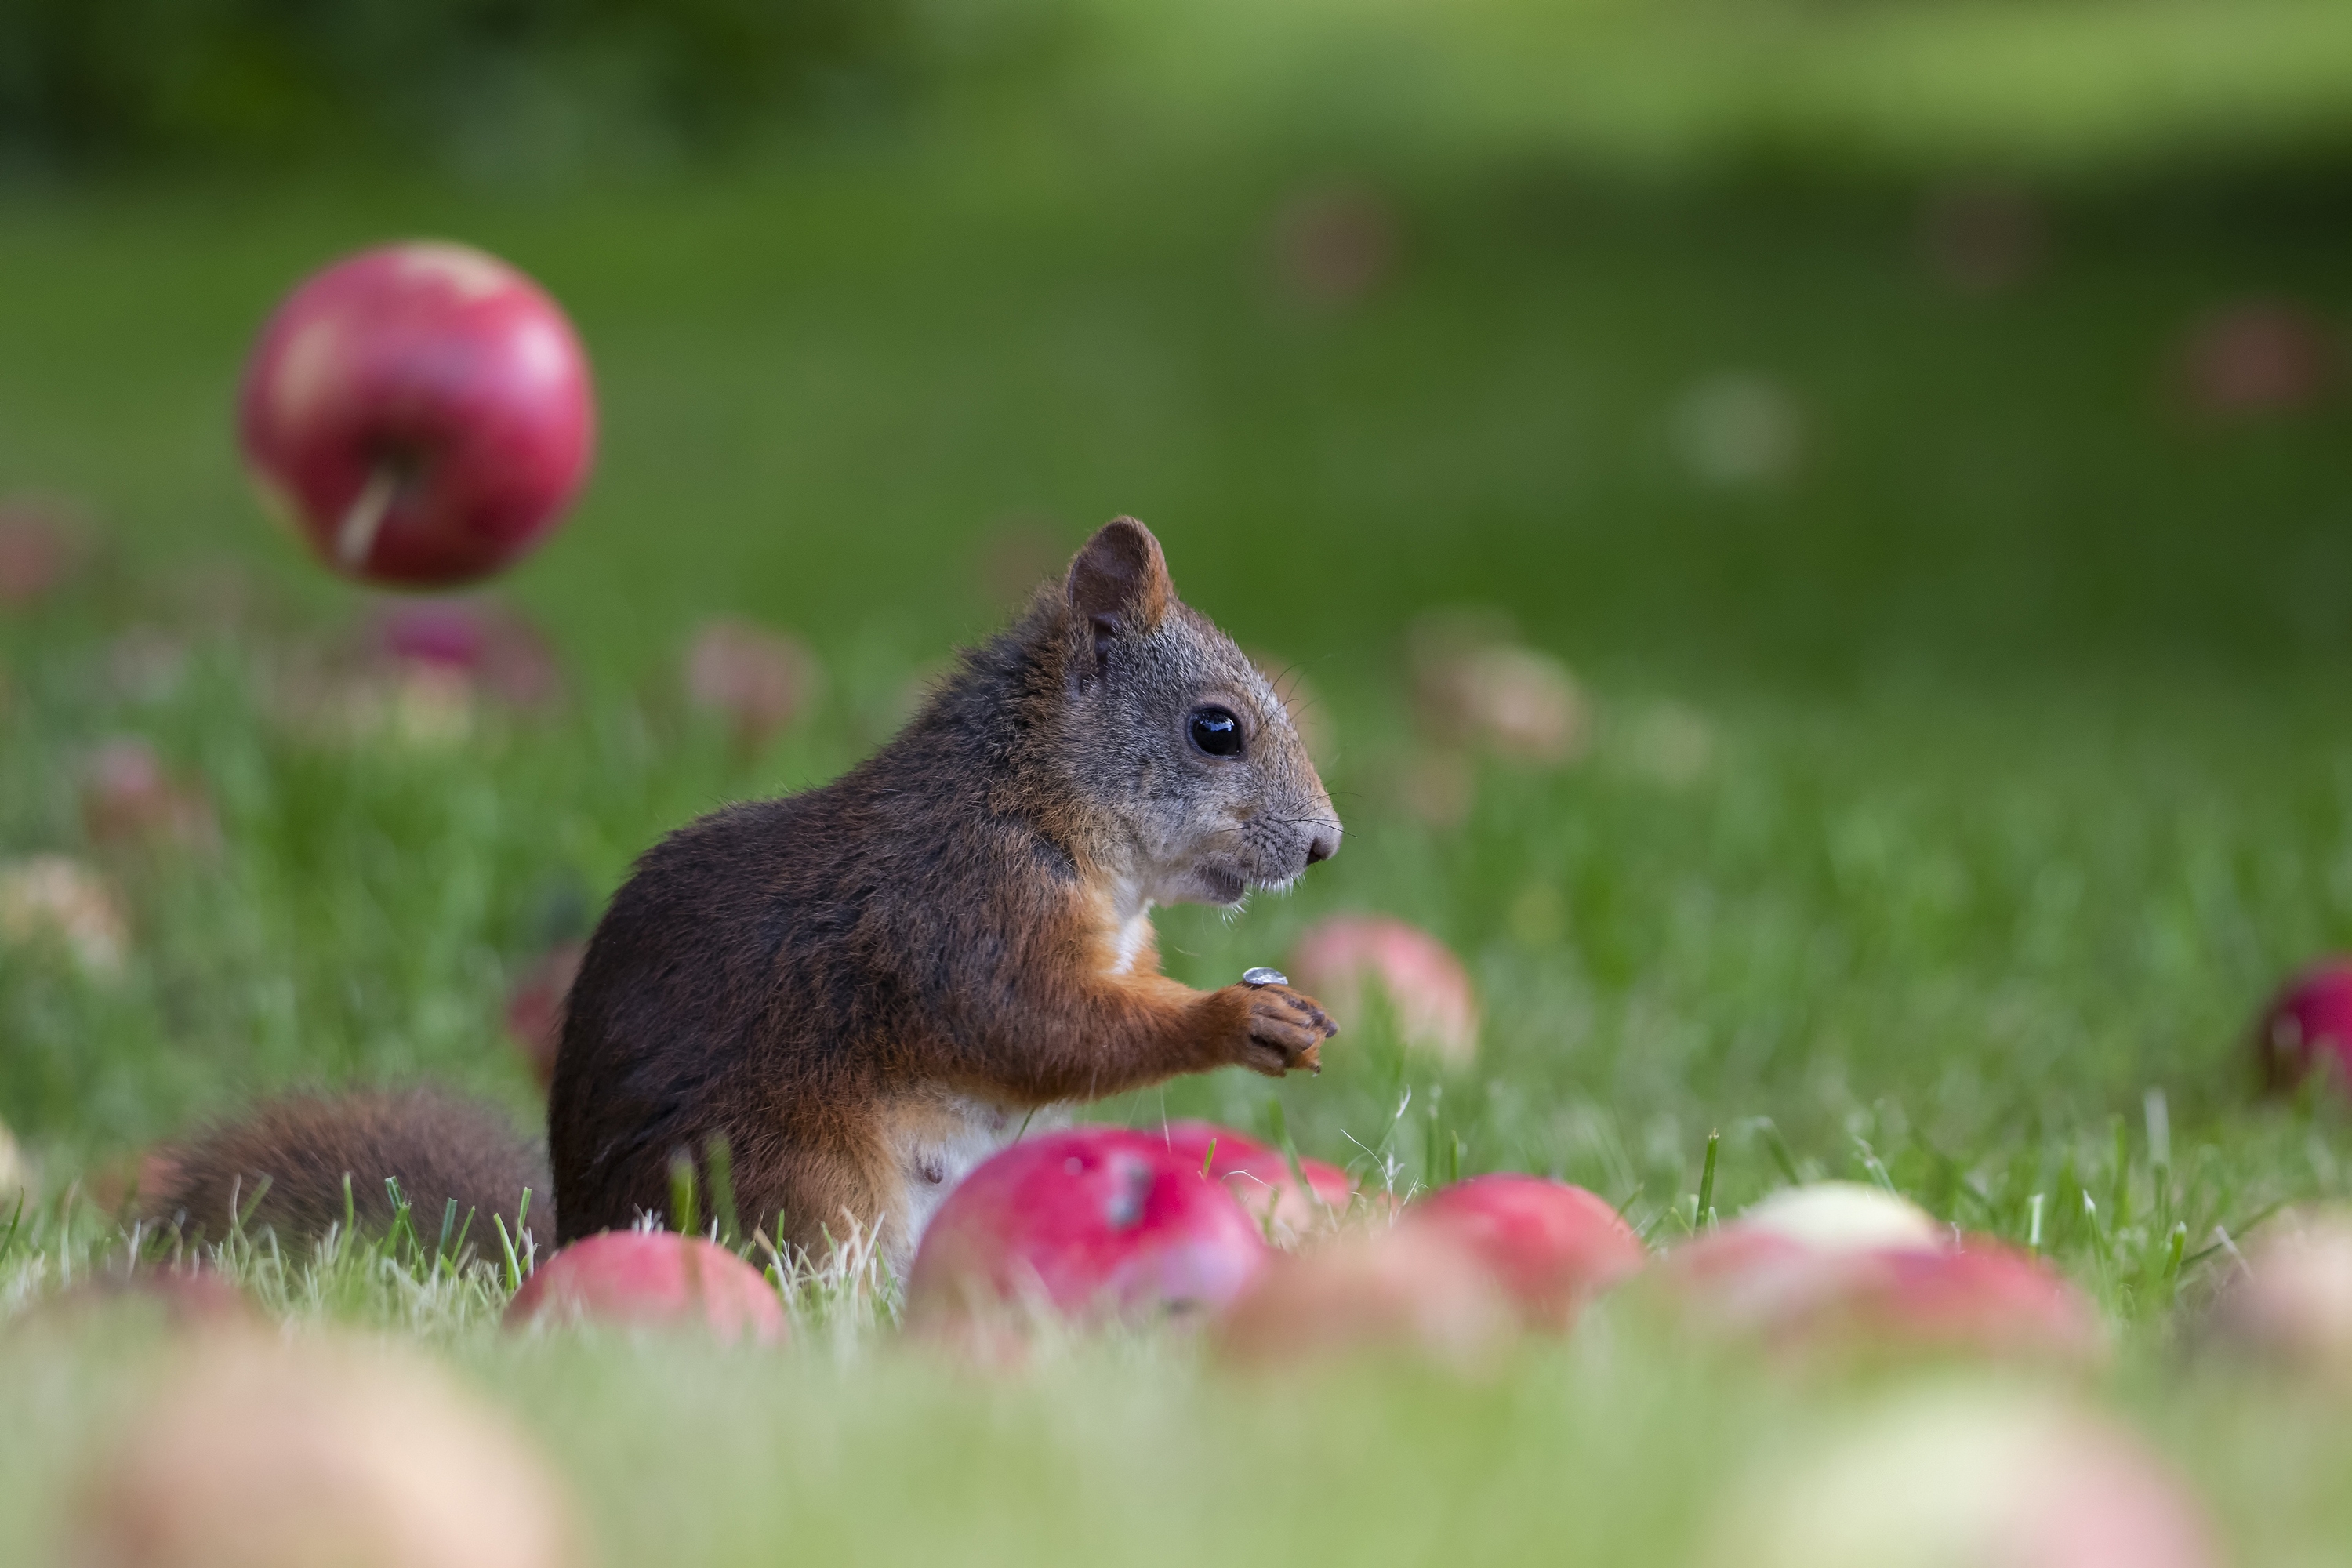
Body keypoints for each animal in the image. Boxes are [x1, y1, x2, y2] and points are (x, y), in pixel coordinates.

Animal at [145, 519, 1342, 1276]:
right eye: (1216, 728)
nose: (1326, 843)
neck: (1040, 800)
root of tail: (581, 1235)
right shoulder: (960, 913)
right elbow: (1042, 1027)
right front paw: (1237, 1017)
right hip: (798, 1182)